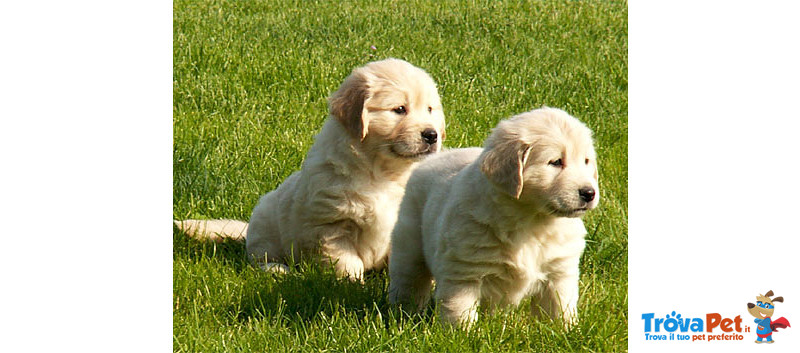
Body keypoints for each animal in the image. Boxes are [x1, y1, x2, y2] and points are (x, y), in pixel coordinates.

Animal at [176, 59, 446, 280]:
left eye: (430, 109)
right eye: (399, 109)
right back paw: (277, 270)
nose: (432, 135)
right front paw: (348, 286)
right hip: (265, 226)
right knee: (259, 258)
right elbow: (348, 264)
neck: (383, 173)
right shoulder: (332, 226)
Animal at [388, 106, 600, 326]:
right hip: (409, 245)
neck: (531, 220)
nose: (589, 193)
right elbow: (460, 312)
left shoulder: (559, 272)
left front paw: (564, 330)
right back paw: (404, 313)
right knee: (409, 279)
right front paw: (463, 333)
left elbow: (560, 309)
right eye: (556, 162)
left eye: (586, 161)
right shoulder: (464, 274)